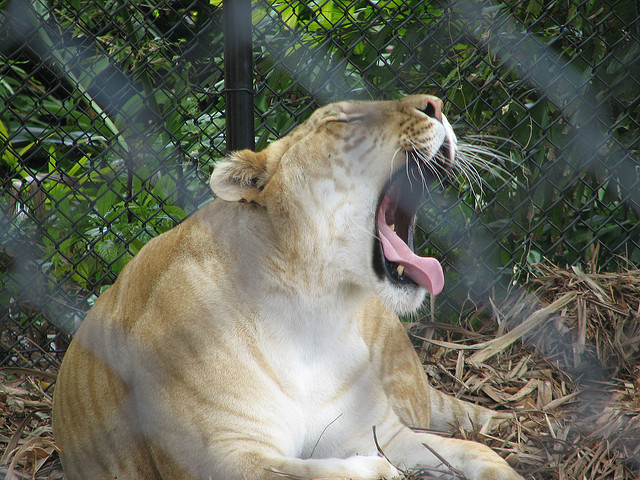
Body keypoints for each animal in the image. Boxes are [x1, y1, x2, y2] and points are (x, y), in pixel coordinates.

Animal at [52, 95, 524, 480]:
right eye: (344, 119)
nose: (437, 105)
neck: (315, 313)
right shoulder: (219, 457)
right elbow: (314, 472)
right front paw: (375, 471)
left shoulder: (383, 433)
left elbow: (480, 454)